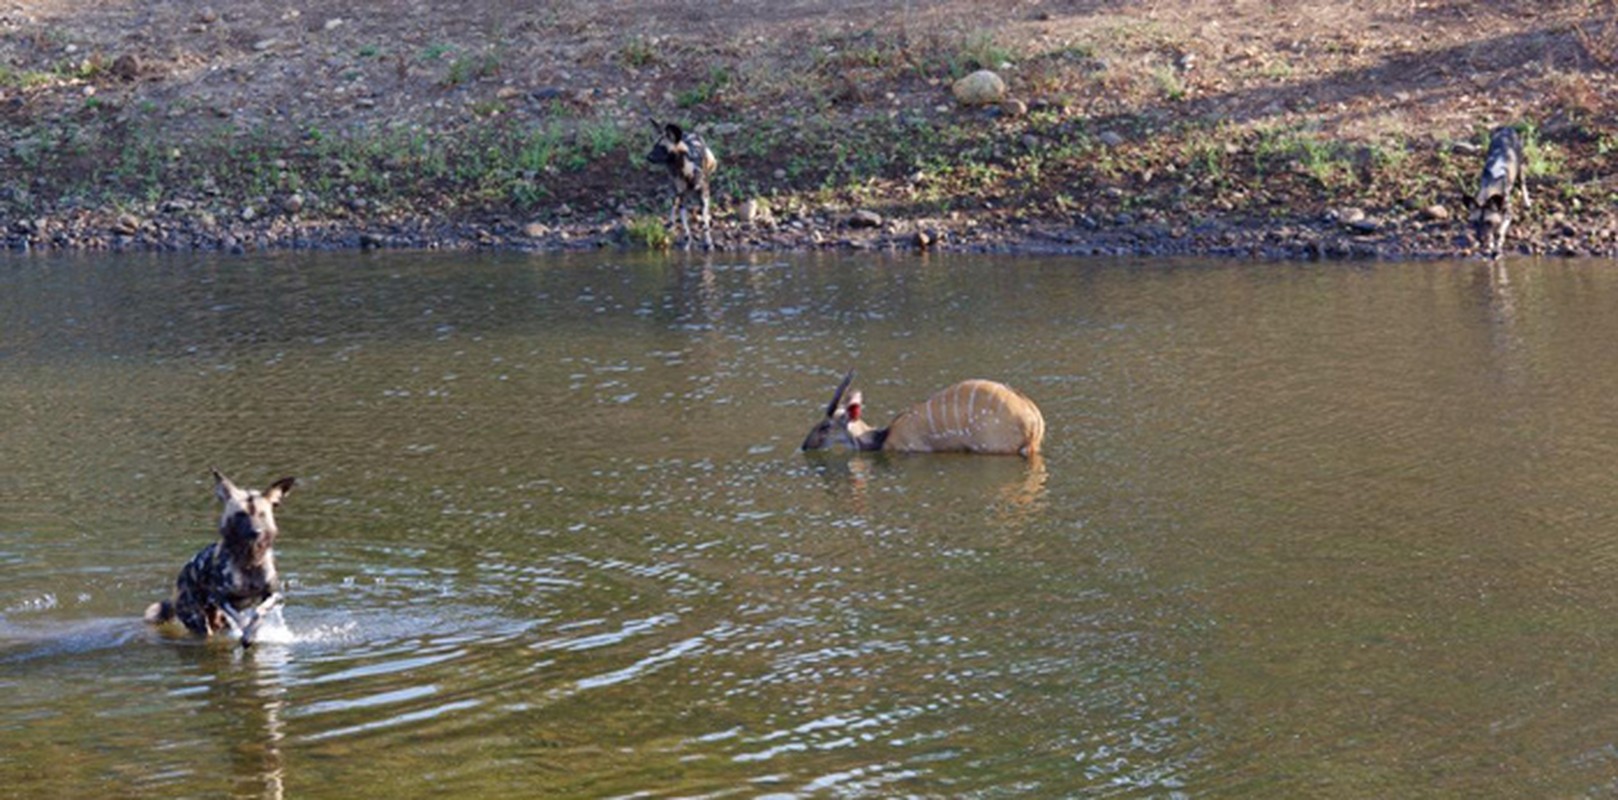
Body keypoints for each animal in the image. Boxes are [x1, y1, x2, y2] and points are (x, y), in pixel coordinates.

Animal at [146, 469, 297, 651]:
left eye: (262, 514)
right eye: (241, 514)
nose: (256, 532)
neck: (249, 560)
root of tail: (179, 581)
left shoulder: (273, 595)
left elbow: (258, 613)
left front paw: (251, 633)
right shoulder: (221, 598)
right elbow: (241, 619)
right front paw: (246, 633)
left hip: (219, 621)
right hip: (201, 623)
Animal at [647, 118, 718, 249]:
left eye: (662, 148)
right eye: (654, 146)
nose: (648, 157)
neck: (686, 170)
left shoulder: (704, 197)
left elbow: (704, 224)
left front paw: (708, 243)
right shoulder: (682, 198)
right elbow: (686, 230)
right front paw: (687, 245)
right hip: (674, 192)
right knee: (673, 207)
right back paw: (671, 225)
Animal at [1469, 124, 1527, 257]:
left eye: (1488, 222)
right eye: (1475, 223)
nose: (1480, 239)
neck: (1490, 186)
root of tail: (1506, 128)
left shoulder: (1508, 215)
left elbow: (1499, 233)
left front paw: (1497, 249)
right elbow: (1491, 235)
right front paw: (1490, 247)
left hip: (1520, 168)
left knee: (1523, 184)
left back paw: (1527, 203)